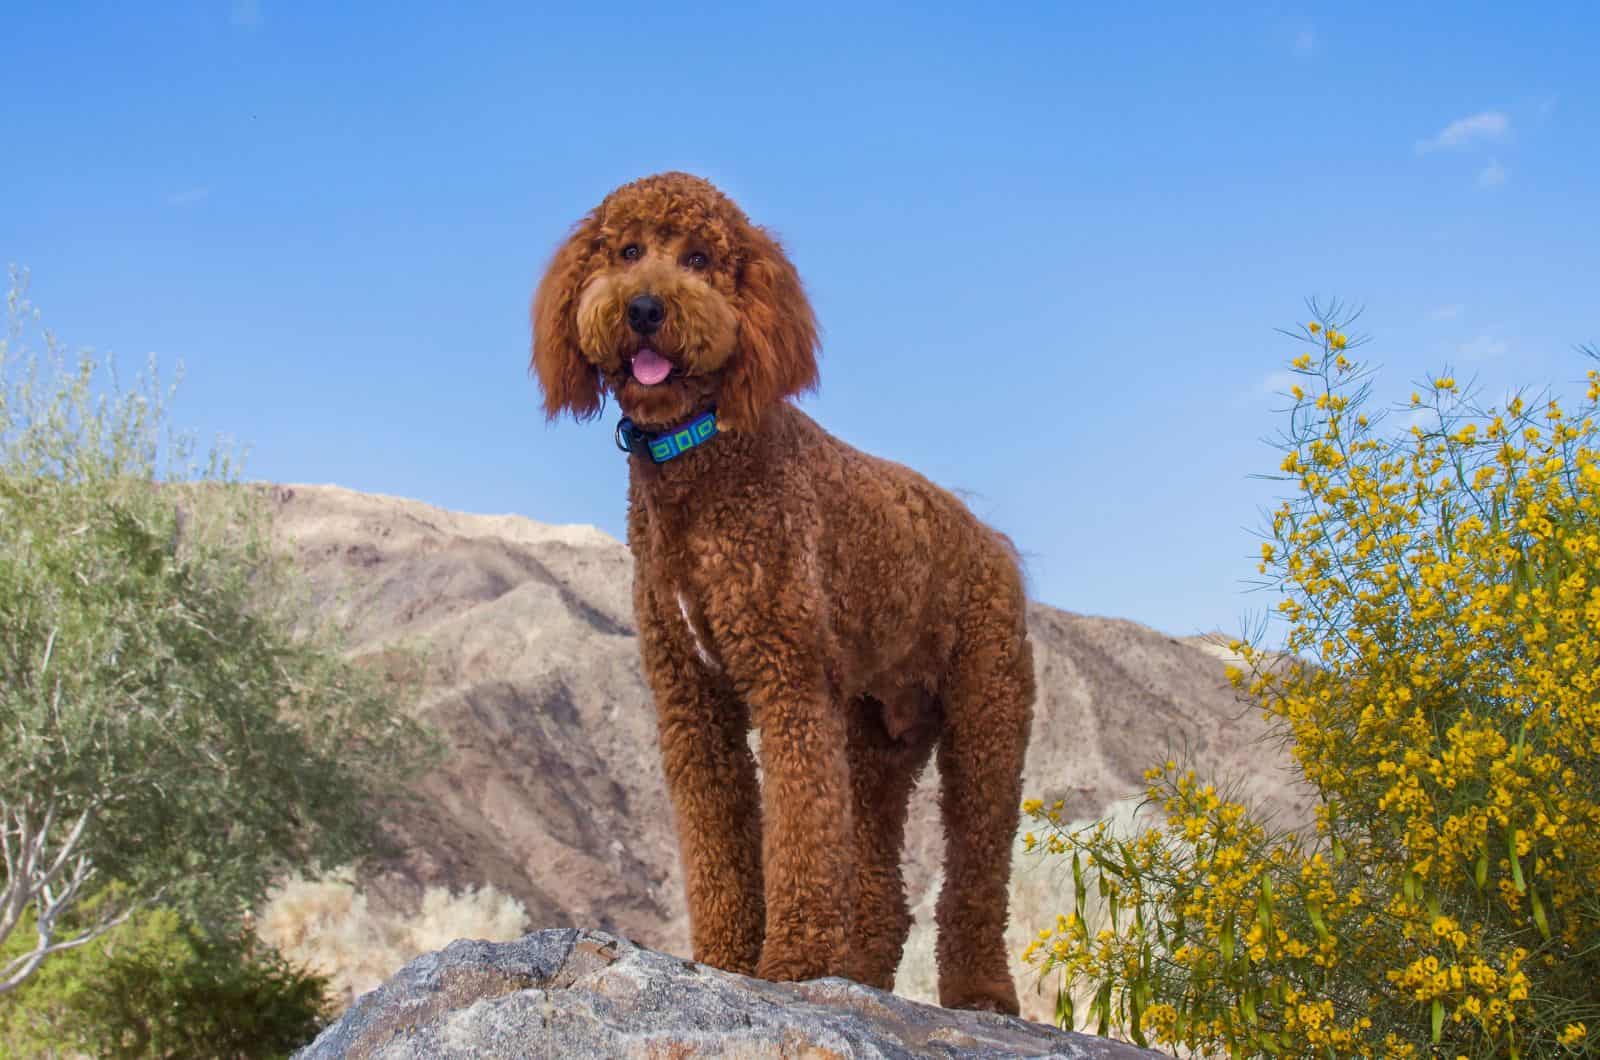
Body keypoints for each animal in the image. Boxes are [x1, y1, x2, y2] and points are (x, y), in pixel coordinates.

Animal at [531, 170, 1030, 1018]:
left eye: (700, 259)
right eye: (626, 251)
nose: (645, 308)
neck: (701, 460)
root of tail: (993, 542)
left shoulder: (787, 681)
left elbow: (798, 834)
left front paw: (792, 963)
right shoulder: (692, 700)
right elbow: (719, 844)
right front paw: (726, 959)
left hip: (985, 723)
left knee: (976, 874)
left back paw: (980, 993)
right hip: (876, 742)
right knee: (880, 884)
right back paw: (858, 972)